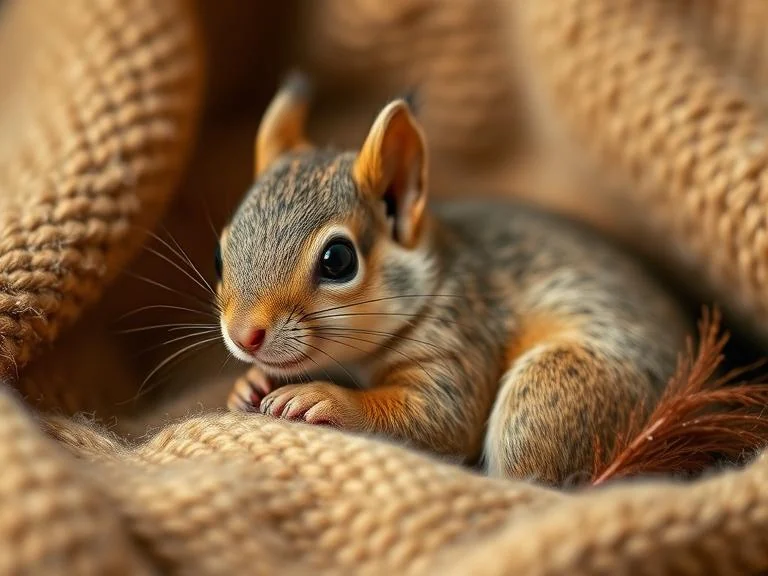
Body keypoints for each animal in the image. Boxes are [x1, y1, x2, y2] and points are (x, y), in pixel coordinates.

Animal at [216, 72, 690, 486]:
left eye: (338, 260)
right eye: (220, 253)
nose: (243, 336)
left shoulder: (462, 336)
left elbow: (441, 417)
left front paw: (322, 397)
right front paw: (250, 383)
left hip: (544, 401)